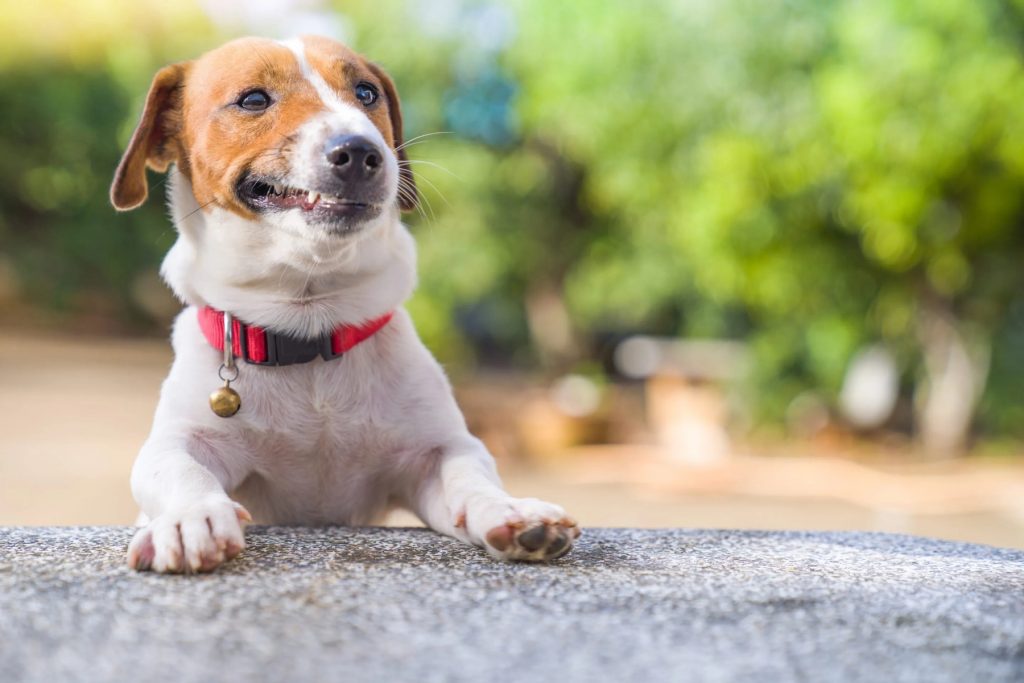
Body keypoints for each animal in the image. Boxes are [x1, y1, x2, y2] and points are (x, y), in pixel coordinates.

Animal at [112, 36, 581, 573]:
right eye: (253, 99)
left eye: (366, 92)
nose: (359, 151)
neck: (308, 329)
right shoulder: (180, 441)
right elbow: (177, 469)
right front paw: (193, 518)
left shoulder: (435, 454)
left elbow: (471, 475)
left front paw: (511, 511)